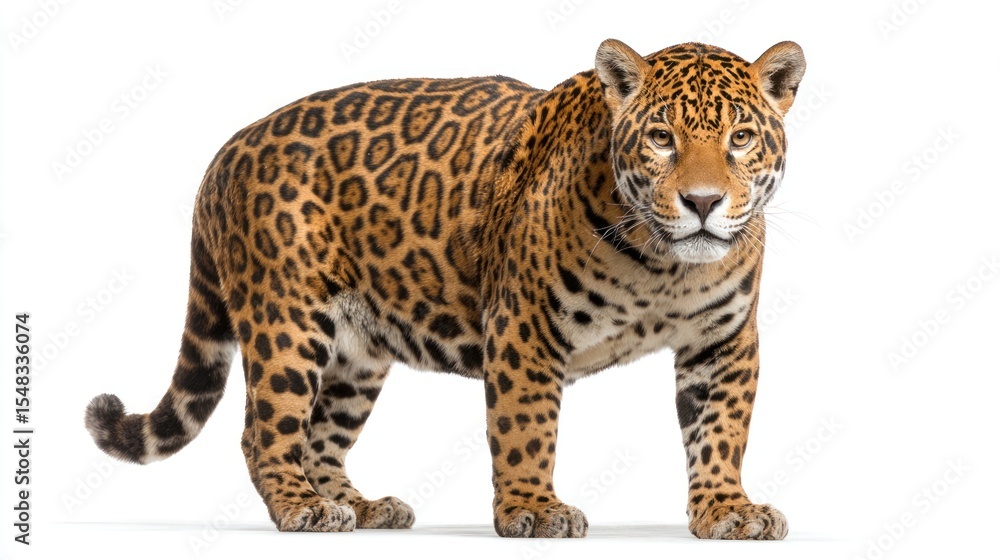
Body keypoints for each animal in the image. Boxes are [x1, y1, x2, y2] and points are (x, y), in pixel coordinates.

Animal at [85, 38, 805, 539]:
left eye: (741, 138)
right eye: (661, 138)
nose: (703, 202)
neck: (663, 268)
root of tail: (228, 148)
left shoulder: (724, 343)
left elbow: (721, 431)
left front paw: (727, 510)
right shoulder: (524, 326)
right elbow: (526, 426)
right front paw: (534, 511)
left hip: (355, 353)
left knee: (321, 433)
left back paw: (354, 504)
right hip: (288, 319)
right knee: (264, 429)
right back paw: (301, 507)